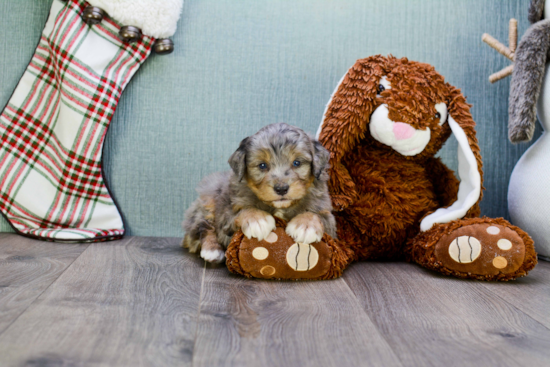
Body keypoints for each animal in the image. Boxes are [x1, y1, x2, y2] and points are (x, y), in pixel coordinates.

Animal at [182, 123, 336, 264]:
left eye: (297, 163)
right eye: (262, 165)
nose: (281, 189)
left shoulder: (329, 221)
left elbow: (315, 214)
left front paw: (305, 226)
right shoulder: (227, 214)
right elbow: (244, 210)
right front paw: (258, 220)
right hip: (208, 200)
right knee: (203, 227)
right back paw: (212, 251)